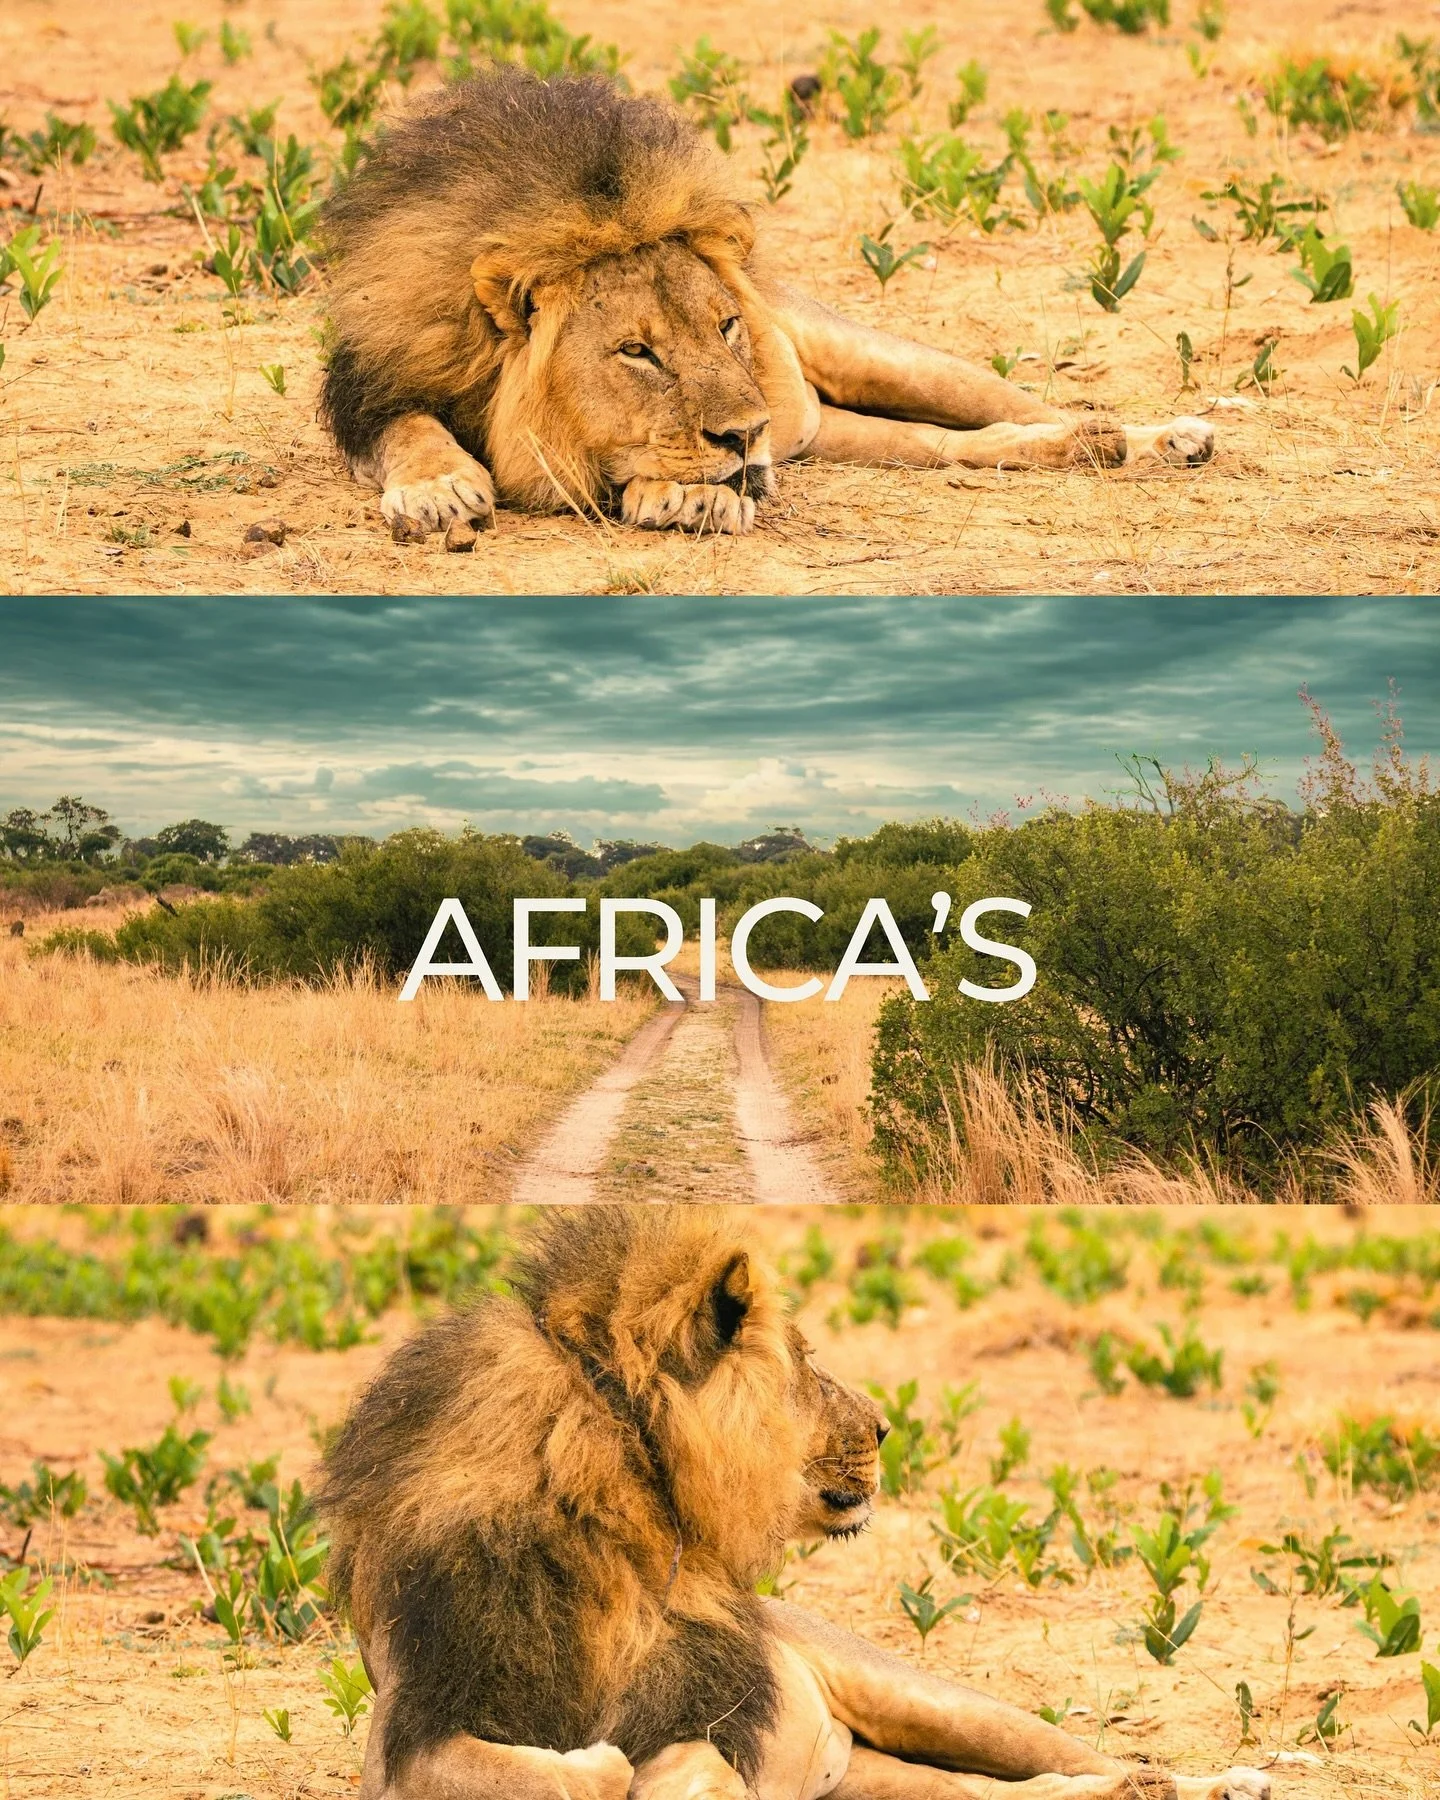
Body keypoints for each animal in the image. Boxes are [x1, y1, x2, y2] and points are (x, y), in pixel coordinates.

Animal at [318, 1207, 1272, 1800]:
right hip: (876, 1783)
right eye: (808, 1364)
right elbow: (569, 1771)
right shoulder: (411, 1734)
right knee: (998, 1793)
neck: (622, 1522)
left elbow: (660, 1763)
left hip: (937, 1702)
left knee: (1065, 1758)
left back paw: (1205, 1781)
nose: (886, 1426)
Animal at [319, 69, 1215, 539]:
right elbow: (406, 427)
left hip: (881, 362)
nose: (748, 433)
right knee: (961, 445)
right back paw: (1087, 448)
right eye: (637, 352)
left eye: (726, 326)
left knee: (1017, 403)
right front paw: (439, 486)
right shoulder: (372, 382)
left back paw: (1158, 436)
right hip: (841, 433)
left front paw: (687, 495)